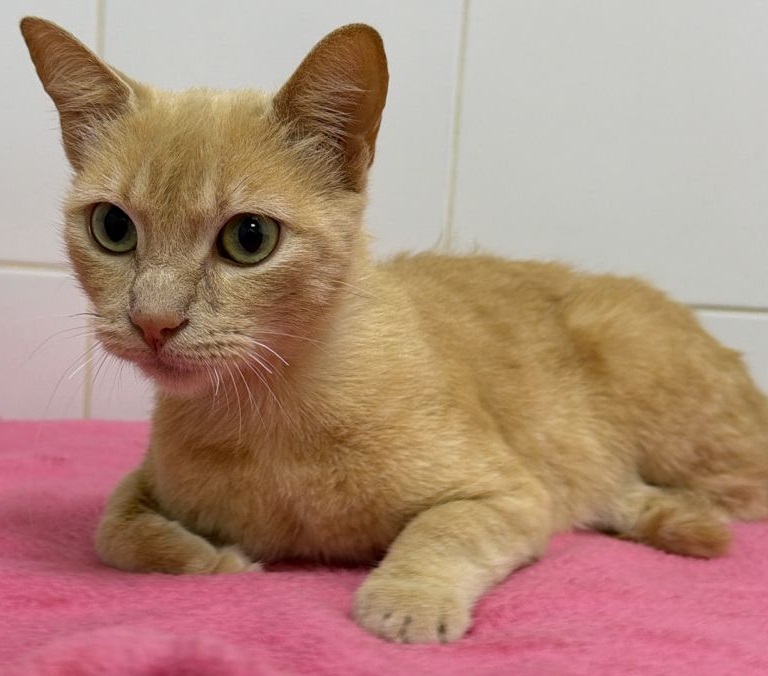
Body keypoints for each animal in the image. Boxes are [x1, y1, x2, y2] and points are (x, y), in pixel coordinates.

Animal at [21, 16, 768, 644]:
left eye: (249, 238)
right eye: (112, 227)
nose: (153, 321)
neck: (271, 414)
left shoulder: (512, 493)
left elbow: (444, 530)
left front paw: (409, 599)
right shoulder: (143, 483)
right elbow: (116, 532)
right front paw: (215, 562)